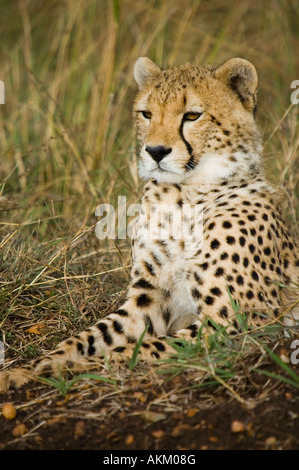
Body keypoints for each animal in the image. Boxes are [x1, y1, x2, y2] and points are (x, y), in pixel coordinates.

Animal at [0, 57, 299, 392]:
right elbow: (89, 338)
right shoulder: (149, 300)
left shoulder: (239, 324)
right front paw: (30, 368)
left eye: (192, 115)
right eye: (147, 114)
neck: (185, 193)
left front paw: (72, 369)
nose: (155, 151)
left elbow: (139, 349)